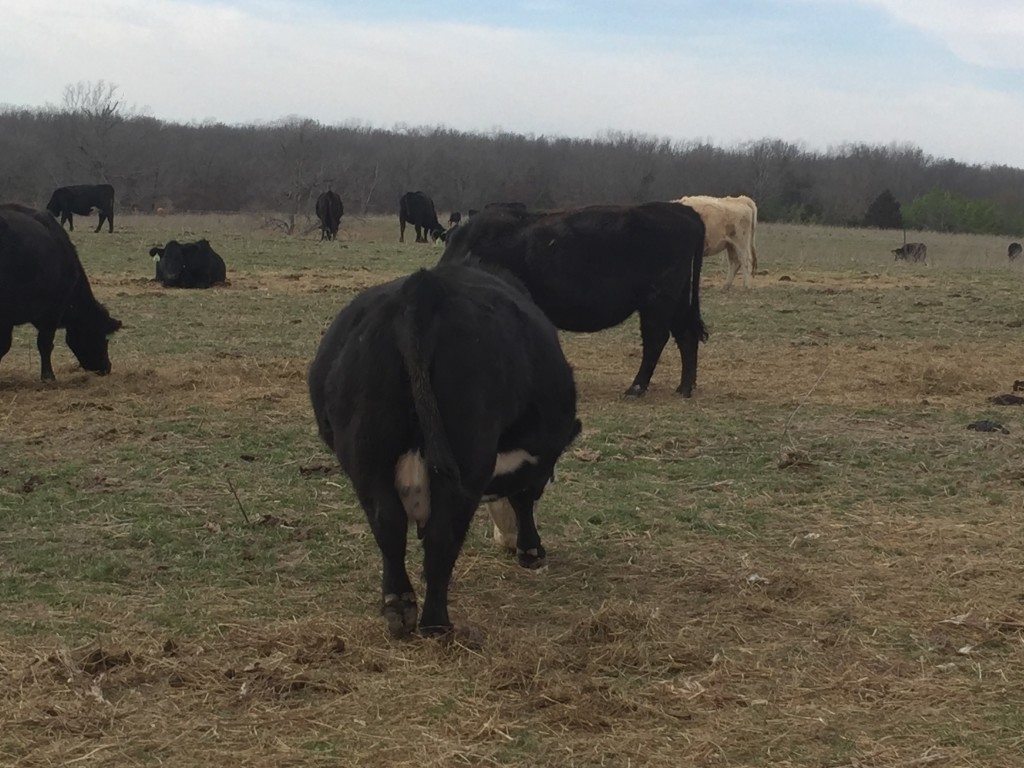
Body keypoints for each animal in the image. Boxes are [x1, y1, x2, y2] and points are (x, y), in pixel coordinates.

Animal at [0, 204, 122, 380]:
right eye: (104, 336)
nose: (107, 367)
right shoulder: (53, 310)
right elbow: (44, 343)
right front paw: (48, 376)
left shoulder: (8, 319)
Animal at [308, 264, 581, 637]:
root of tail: (422, 290)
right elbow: (524, 497)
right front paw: (530, 549)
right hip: (464, 461)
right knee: (442, 536)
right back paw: (436, 623)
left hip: (368, 458)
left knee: (388, 525)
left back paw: (399, 605)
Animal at [439, 201, 707, 397]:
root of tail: (680, 211)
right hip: (677, 300)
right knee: (686, 335)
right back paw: (685, 388)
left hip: (657, 300)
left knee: (656, 339)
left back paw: (636, 388)